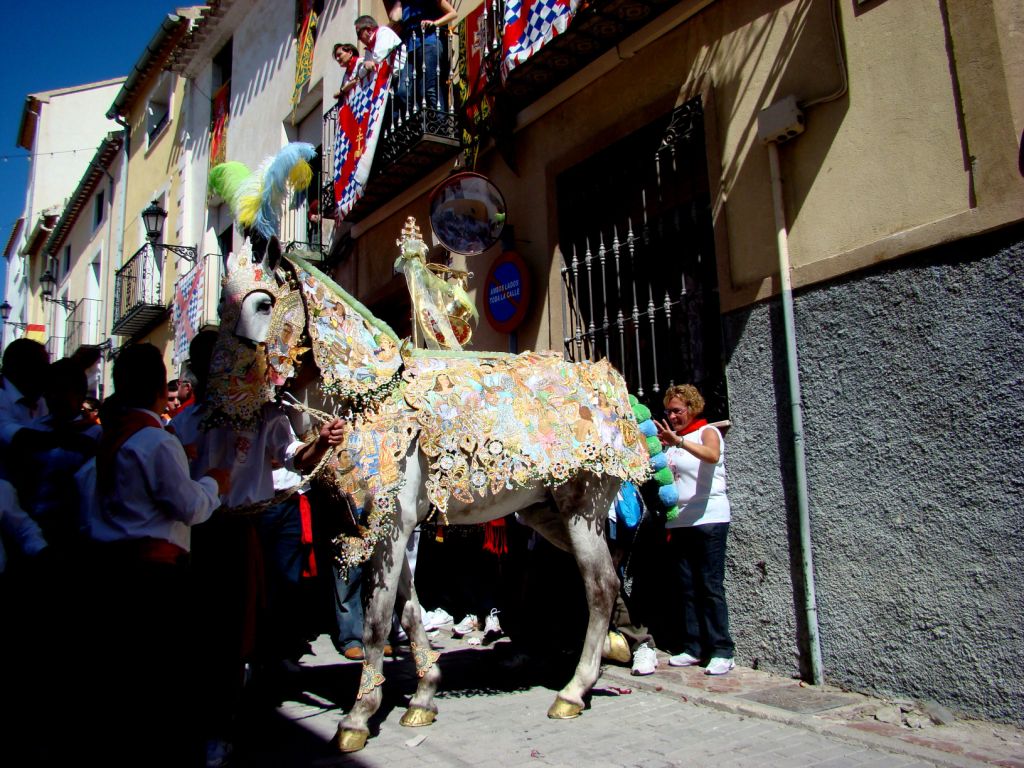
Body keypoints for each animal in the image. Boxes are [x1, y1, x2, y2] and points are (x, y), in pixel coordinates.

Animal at [205, 233, 651, 752]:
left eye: (262, 303)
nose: (218, 399)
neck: (377, 391)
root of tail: (613, 387)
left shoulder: (392, 527)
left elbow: (377, 621)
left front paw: (357, 717)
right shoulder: (388, 526)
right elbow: (408, 609)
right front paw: (423, 696)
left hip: (581, 507)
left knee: (599, 585)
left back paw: (574, 690)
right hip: (548, 513)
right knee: (612, 568)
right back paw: (617, 645)